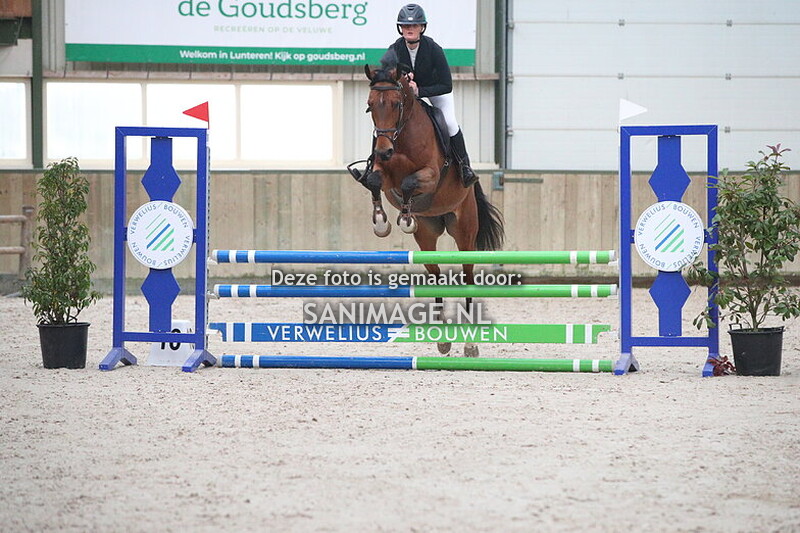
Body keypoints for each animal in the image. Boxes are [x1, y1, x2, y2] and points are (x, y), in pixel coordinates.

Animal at [351, 61, 504, 357]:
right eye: (370, 105)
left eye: (397, 103)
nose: (384, 150)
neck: (401, 137)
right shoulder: (384, 176)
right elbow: (374, 180)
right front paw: (382, 222)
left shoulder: (431, 175)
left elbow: (410, 182)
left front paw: (404, 218)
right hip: (427, 236)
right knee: (436, 275)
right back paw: (443, 340)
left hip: (464, 232)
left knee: (467, 276)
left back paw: (470, 344)